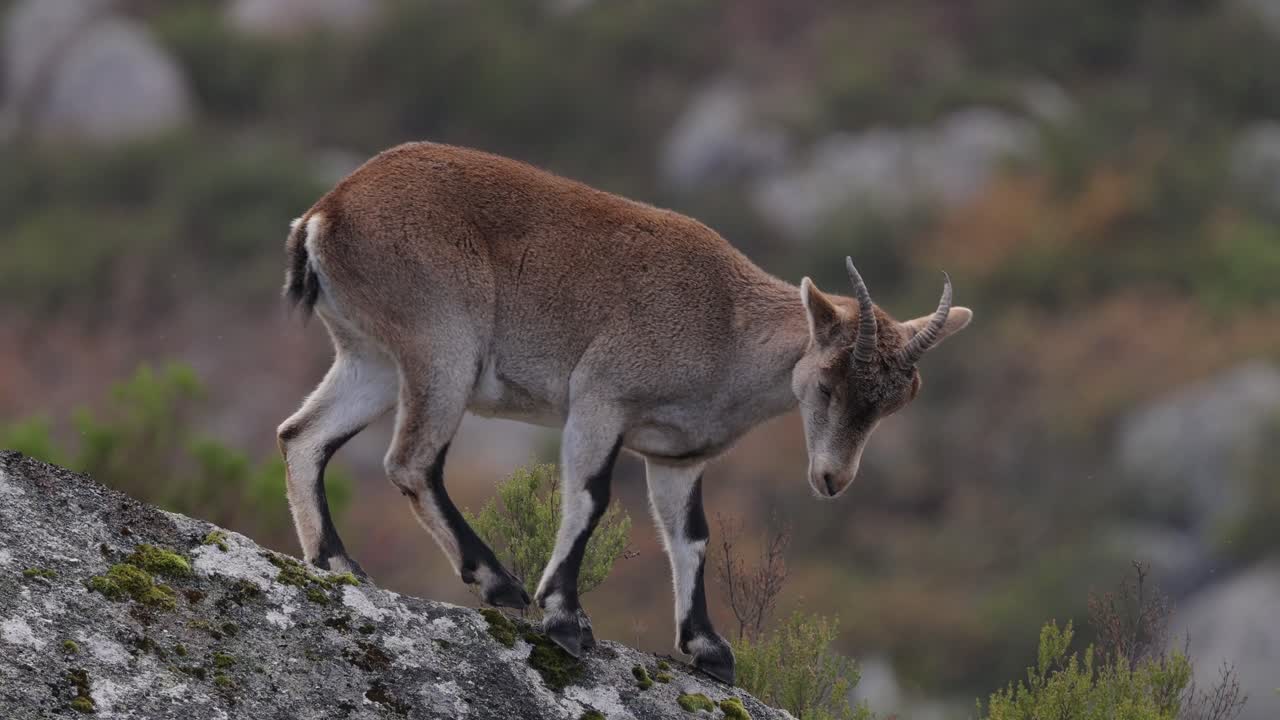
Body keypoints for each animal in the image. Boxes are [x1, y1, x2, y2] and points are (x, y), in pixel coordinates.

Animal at [276, 142, 972, 684]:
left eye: (894, 404)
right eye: (828, 386)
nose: (832, 479)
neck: (726, 326)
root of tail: (325, 213)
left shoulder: (676, 455)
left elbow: (691, 536)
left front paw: (708, 650)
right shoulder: (599, 402)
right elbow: (589, 498)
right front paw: (566, 618)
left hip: (372, 360)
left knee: (301, 436)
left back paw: (337, 564)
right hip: (442, 348)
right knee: (411, 462)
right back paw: (498, 582)